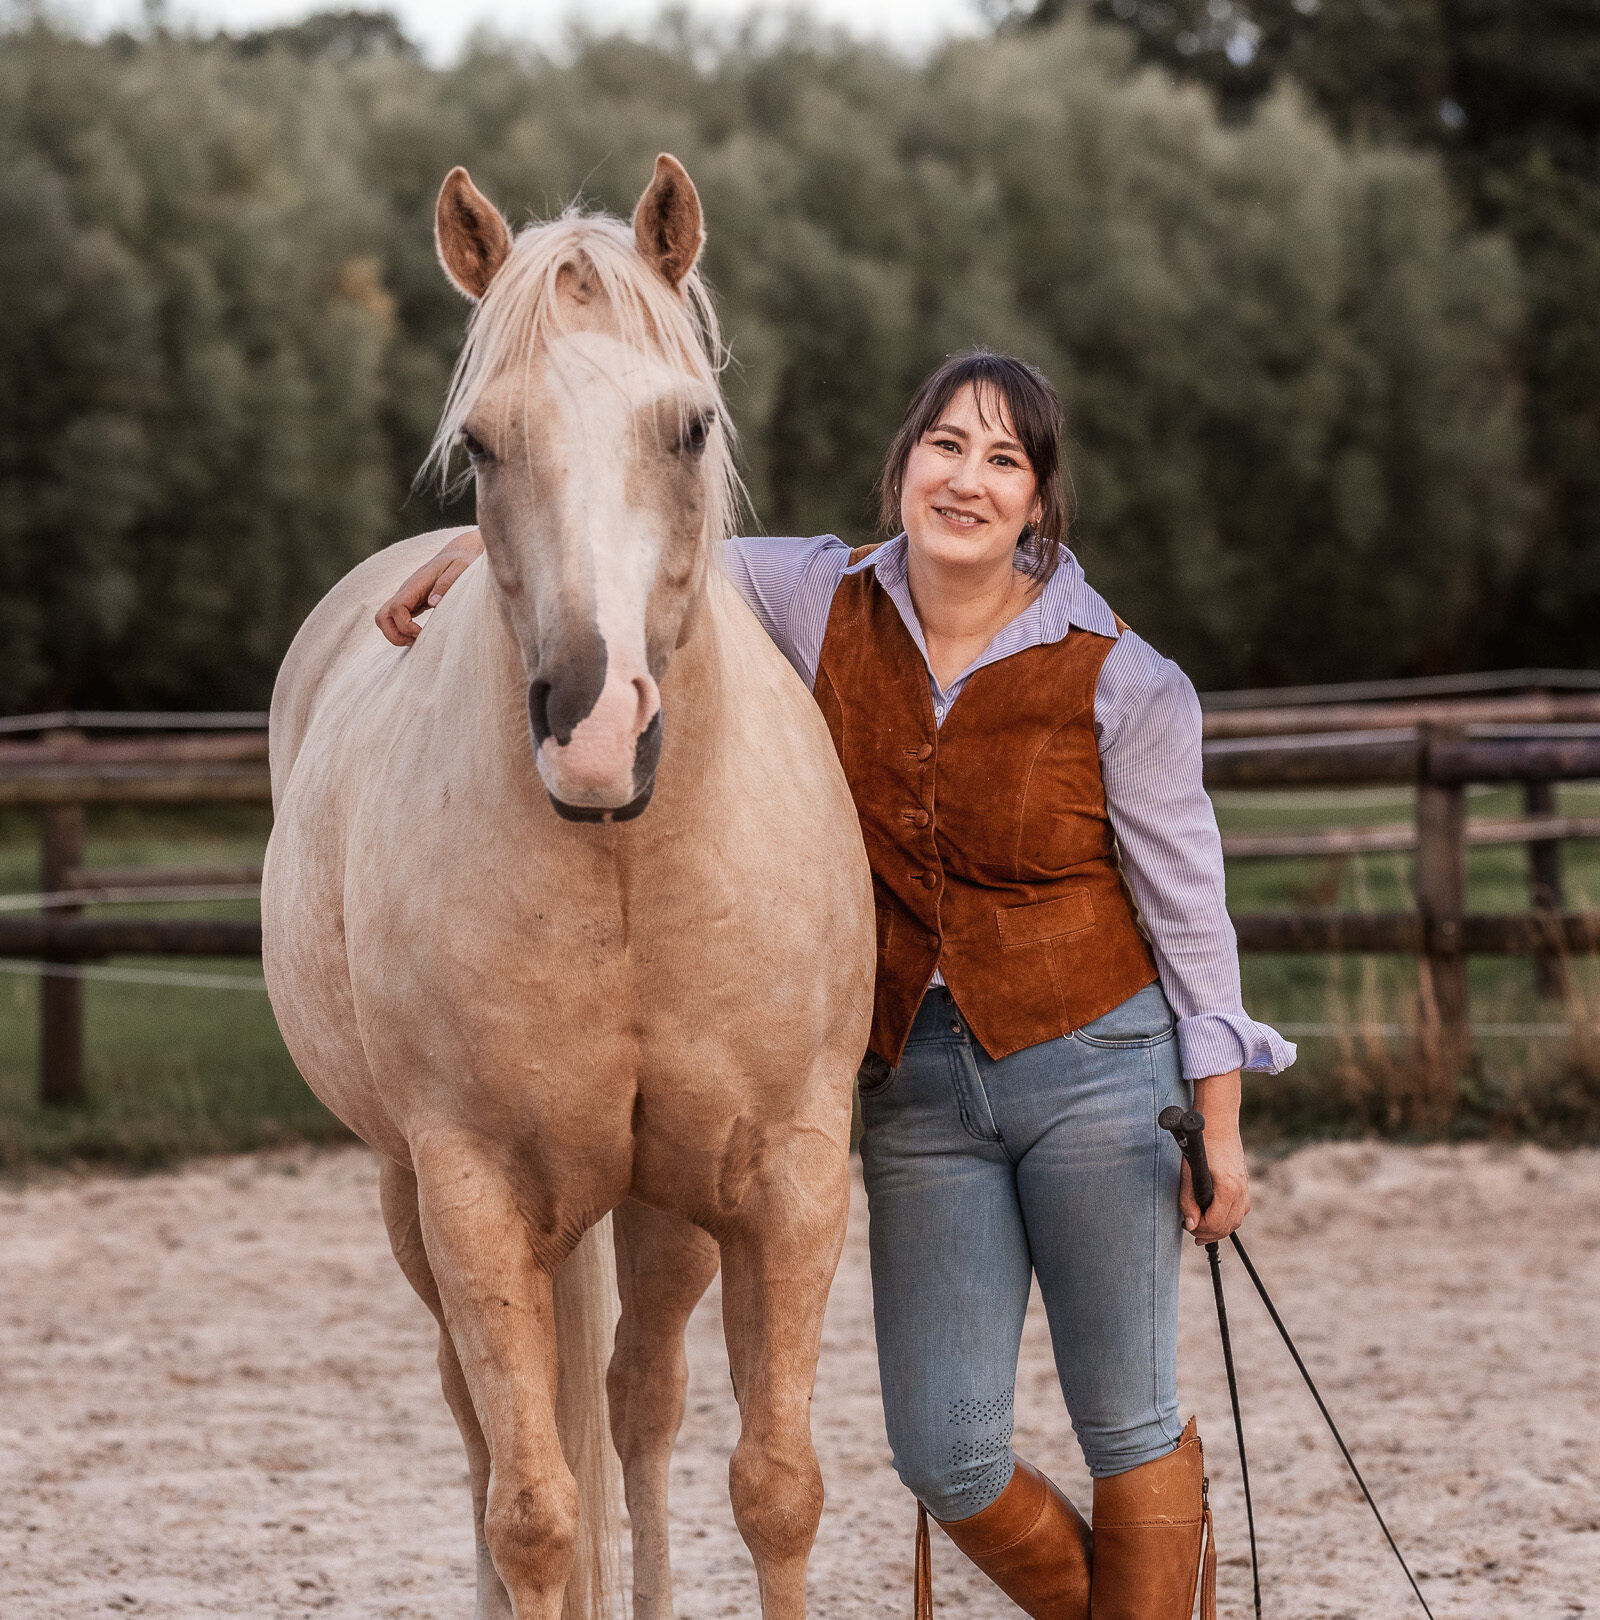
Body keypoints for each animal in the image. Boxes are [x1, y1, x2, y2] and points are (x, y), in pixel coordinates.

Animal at [261, 154, 875, 1620]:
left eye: (690, 427)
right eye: (483, 443)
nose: (594, 729)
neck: (627, 862)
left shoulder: (785, 1175)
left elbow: (775, 1487)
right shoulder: (473, 1194)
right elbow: (533, 1512)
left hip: (662, 1209)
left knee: (639, 1409)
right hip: (420, 1206)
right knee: (491, 1436)